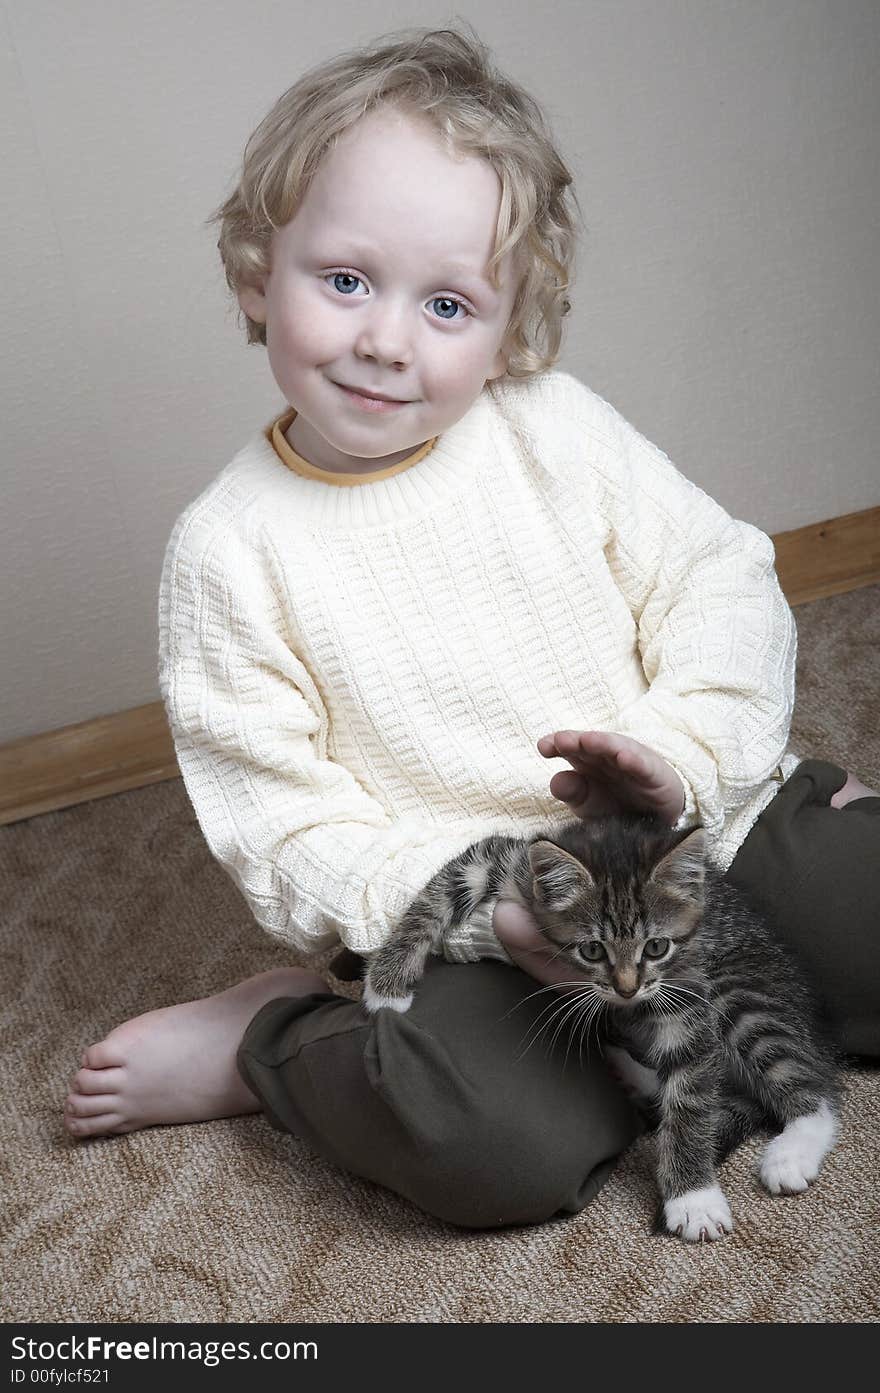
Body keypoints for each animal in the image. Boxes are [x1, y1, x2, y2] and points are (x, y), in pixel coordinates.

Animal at [362, 813, 841, 1248]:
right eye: (592, 950)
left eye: (656, 946)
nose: (627, 989)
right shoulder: (516, 869)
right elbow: (445, 888)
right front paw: (385, 984)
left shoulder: (686, 984)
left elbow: (689, 1090)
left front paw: (693, 1199)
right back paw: (629, 1070)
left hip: (738, 991)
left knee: (811, 1085)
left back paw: (792, 1149)